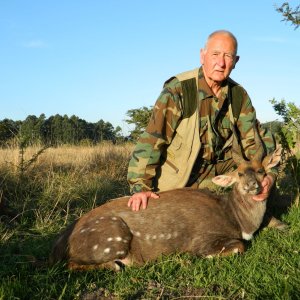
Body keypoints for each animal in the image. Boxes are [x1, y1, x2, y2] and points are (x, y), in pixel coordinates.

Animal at [49, 127, 282, 270]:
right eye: (239, 174)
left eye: (261, 171)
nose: (251, 185)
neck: (237, 219)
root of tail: (59, 244)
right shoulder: (204, 239)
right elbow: (238, 247)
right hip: (113, 237)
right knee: (74, 264)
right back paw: (118, 265)